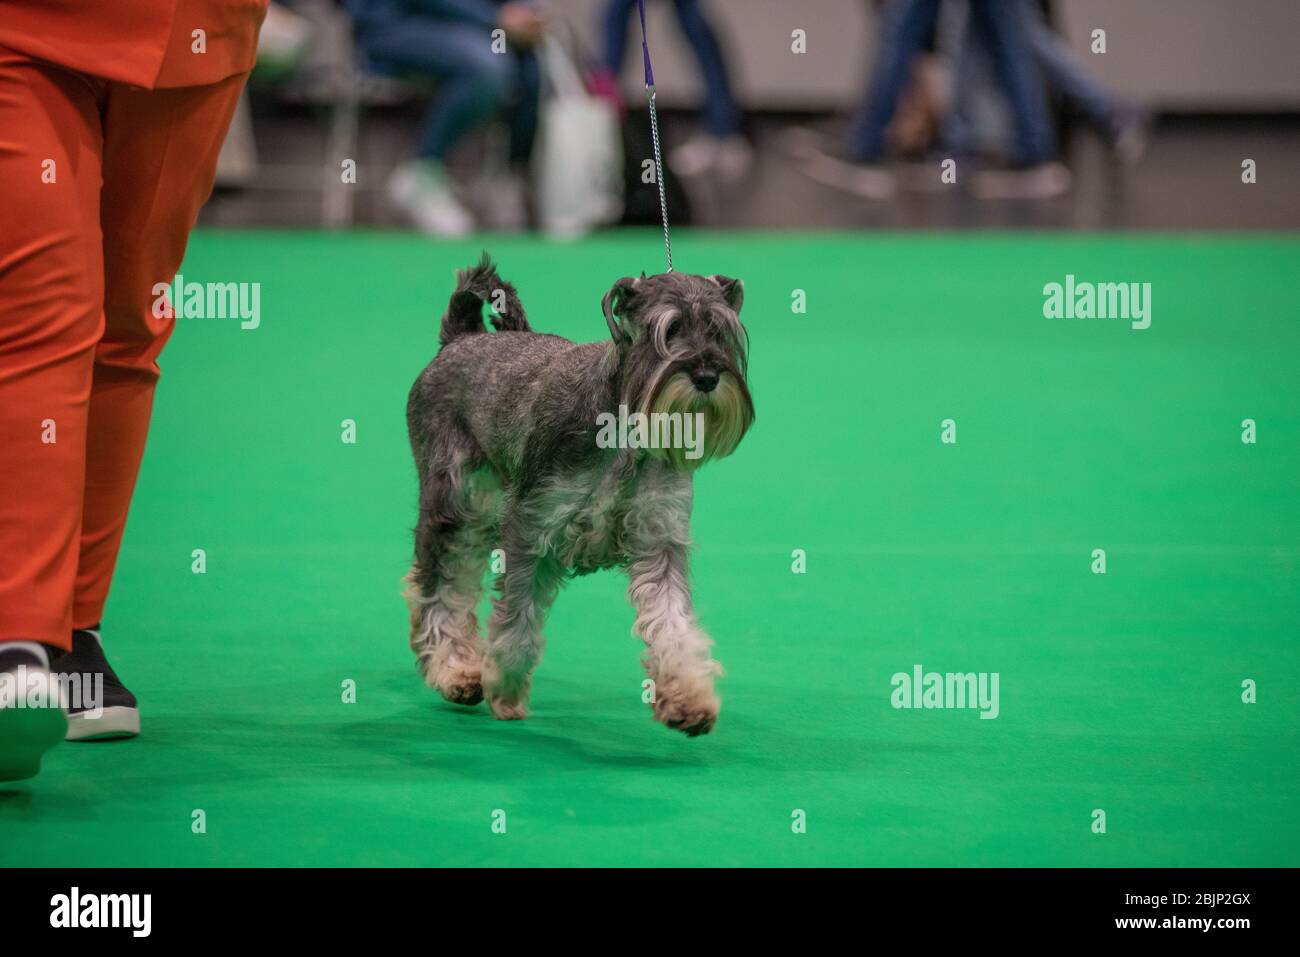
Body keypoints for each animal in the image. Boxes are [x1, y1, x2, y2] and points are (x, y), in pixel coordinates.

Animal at [403, 252, 754, 733]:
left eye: (720, 331)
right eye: (668, 331)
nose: (706, 375)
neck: (622, 430)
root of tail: (459, 339)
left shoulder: (659, 538)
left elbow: (673, 621)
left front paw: (690, 697)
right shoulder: (532, 529)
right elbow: (517, 623)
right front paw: (505, 687)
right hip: (455, 506)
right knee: (439, 586)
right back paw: (454, 670)